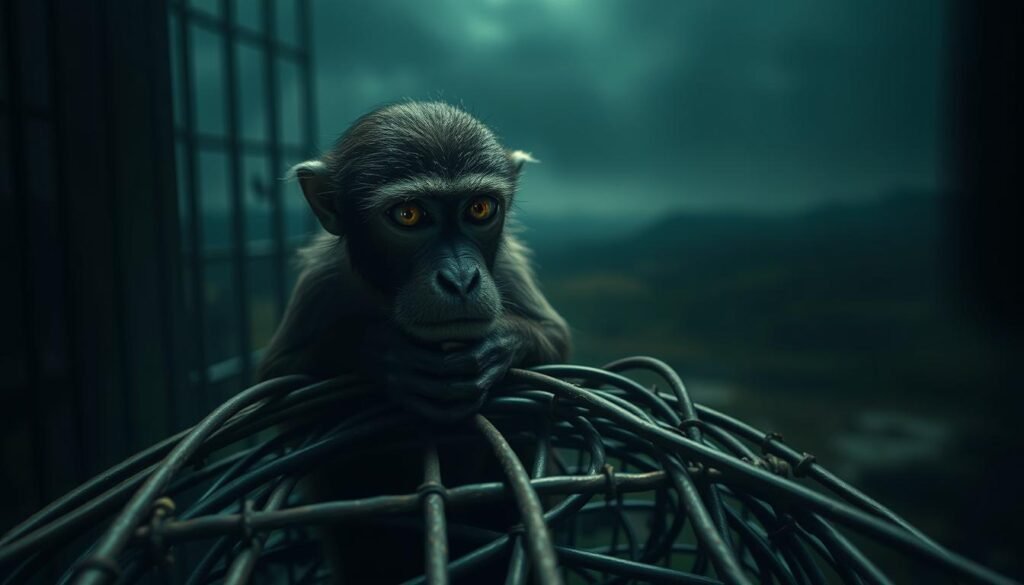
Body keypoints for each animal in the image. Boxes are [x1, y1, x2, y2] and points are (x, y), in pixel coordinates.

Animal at [257, 101, 570, 582]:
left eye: (479, 208)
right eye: (409, 215)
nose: (460, 278)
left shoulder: (505, 266)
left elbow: (557, 340)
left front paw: (494, 349)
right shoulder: (323, 277)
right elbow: (281, 387)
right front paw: (386, 356)